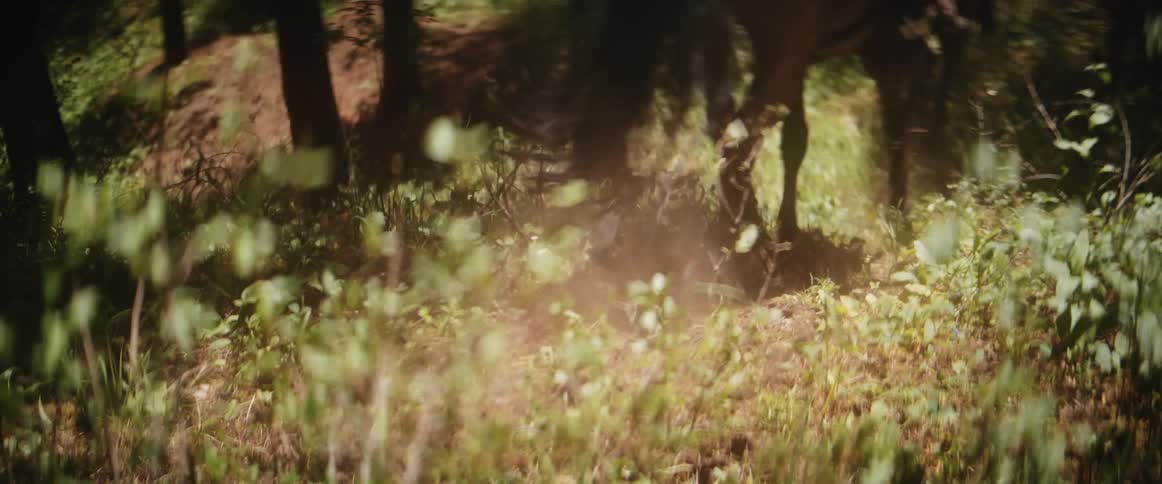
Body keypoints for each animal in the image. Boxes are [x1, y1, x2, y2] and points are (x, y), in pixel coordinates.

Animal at [564, 0, 993, 291]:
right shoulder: (885, 44)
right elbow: (897, 122)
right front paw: (901, 216)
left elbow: (796, 140)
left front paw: (790, 229)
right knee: (732, 142)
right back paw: (751, 248)